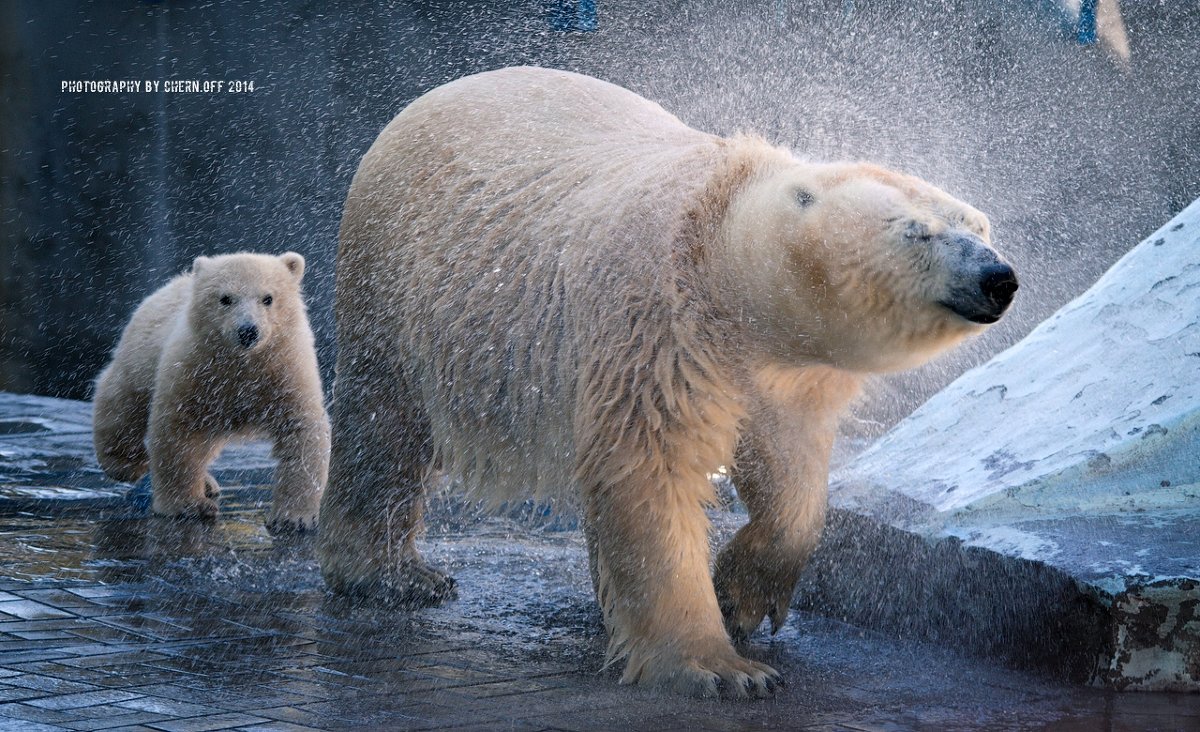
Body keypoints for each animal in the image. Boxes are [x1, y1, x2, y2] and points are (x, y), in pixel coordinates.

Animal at [319, 66, 1012, 696]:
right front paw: (722, 668)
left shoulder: (789, 372)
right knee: (385, 424)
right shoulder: (654, 323)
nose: (998, 277)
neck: (719, 258)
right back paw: (392, 575)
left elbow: (790, 473)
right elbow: (649, 470)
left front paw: (740, 594)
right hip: (393, 274)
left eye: (979, 226)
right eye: (917, 232)